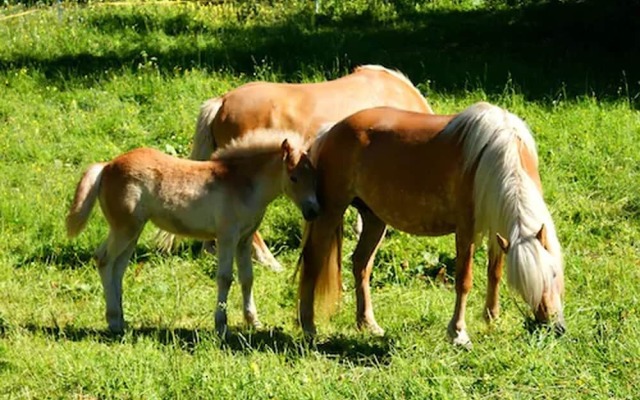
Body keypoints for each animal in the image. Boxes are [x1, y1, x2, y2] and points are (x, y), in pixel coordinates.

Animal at [66, 130, 318, 336]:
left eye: (314, 174)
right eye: (294, 177)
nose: (313, 210)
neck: (241, 183)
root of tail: (107, 166)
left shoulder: (244, 240)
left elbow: (247, 278)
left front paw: (253, 321)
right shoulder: (227, 237)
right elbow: (225, 278)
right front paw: (221, 324)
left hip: (133, 231)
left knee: (118, 268)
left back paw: (120, 319)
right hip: (124, 229)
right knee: (104, 260)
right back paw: (113, 321)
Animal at [298, 103, 568, 346]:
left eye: (554, 273)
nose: (555, 326)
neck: (495, 155)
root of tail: (330, 131)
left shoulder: (497, 229)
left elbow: (495, 273)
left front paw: (492, 318)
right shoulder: (466, 230)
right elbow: (464, 280)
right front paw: (458, 333)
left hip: (374, 219)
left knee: (361, 264)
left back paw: (368, 324)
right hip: (331, 212)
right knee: (313, 261)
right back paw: (309, 327)